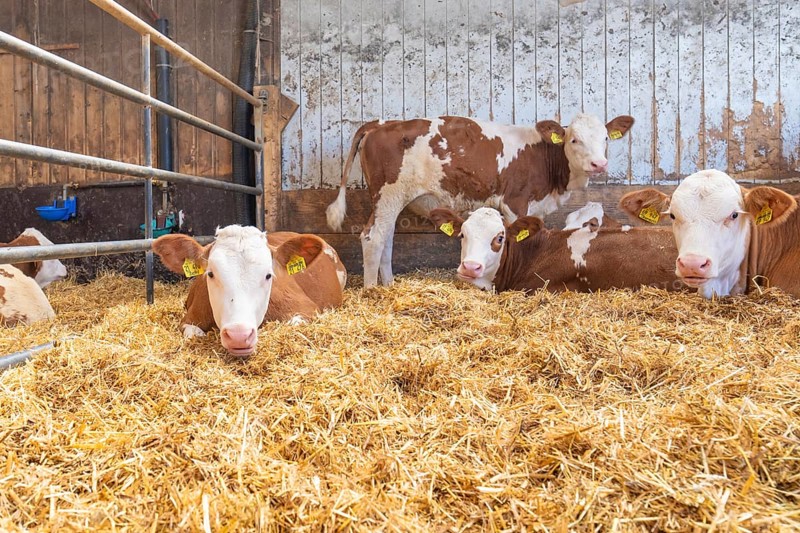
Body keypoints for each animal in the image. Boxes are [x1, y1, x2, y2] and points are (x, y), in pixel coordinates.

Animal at [153, 225, 347, 357]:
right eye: (210, 273)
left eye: (269, 275)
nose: (239, 336)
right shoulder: (190, 318)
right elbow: (194, 334)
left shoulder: (307, 308)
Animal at [325, 113, 635, 288]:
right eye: (573, 140)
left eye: (606, 138)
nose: (599, 164)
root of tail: (381, 123)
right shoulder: (515, 201)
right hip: (387, 194)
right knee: (373, 237)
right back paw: (372, 291)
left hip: (391, 199)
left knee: (386, 237)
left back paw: (388, 285)